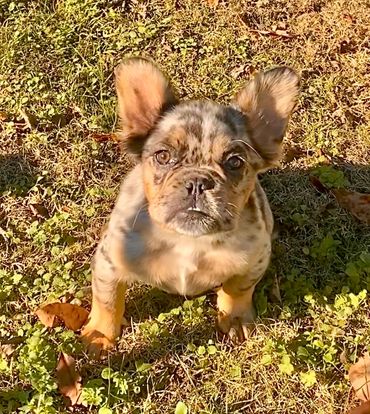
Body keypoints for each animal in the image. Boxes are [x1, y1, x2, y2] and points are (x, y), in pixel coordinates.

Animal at [80, 56, 298, 358]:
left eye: (235, 162)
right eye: (162, 156)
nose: (197, 182)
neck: (187, 240)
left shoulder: (255, 258)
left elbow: (238, 289)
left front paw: (235, 318)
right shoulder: (109, 262)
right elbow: (107, 300)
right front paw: (101, 334)